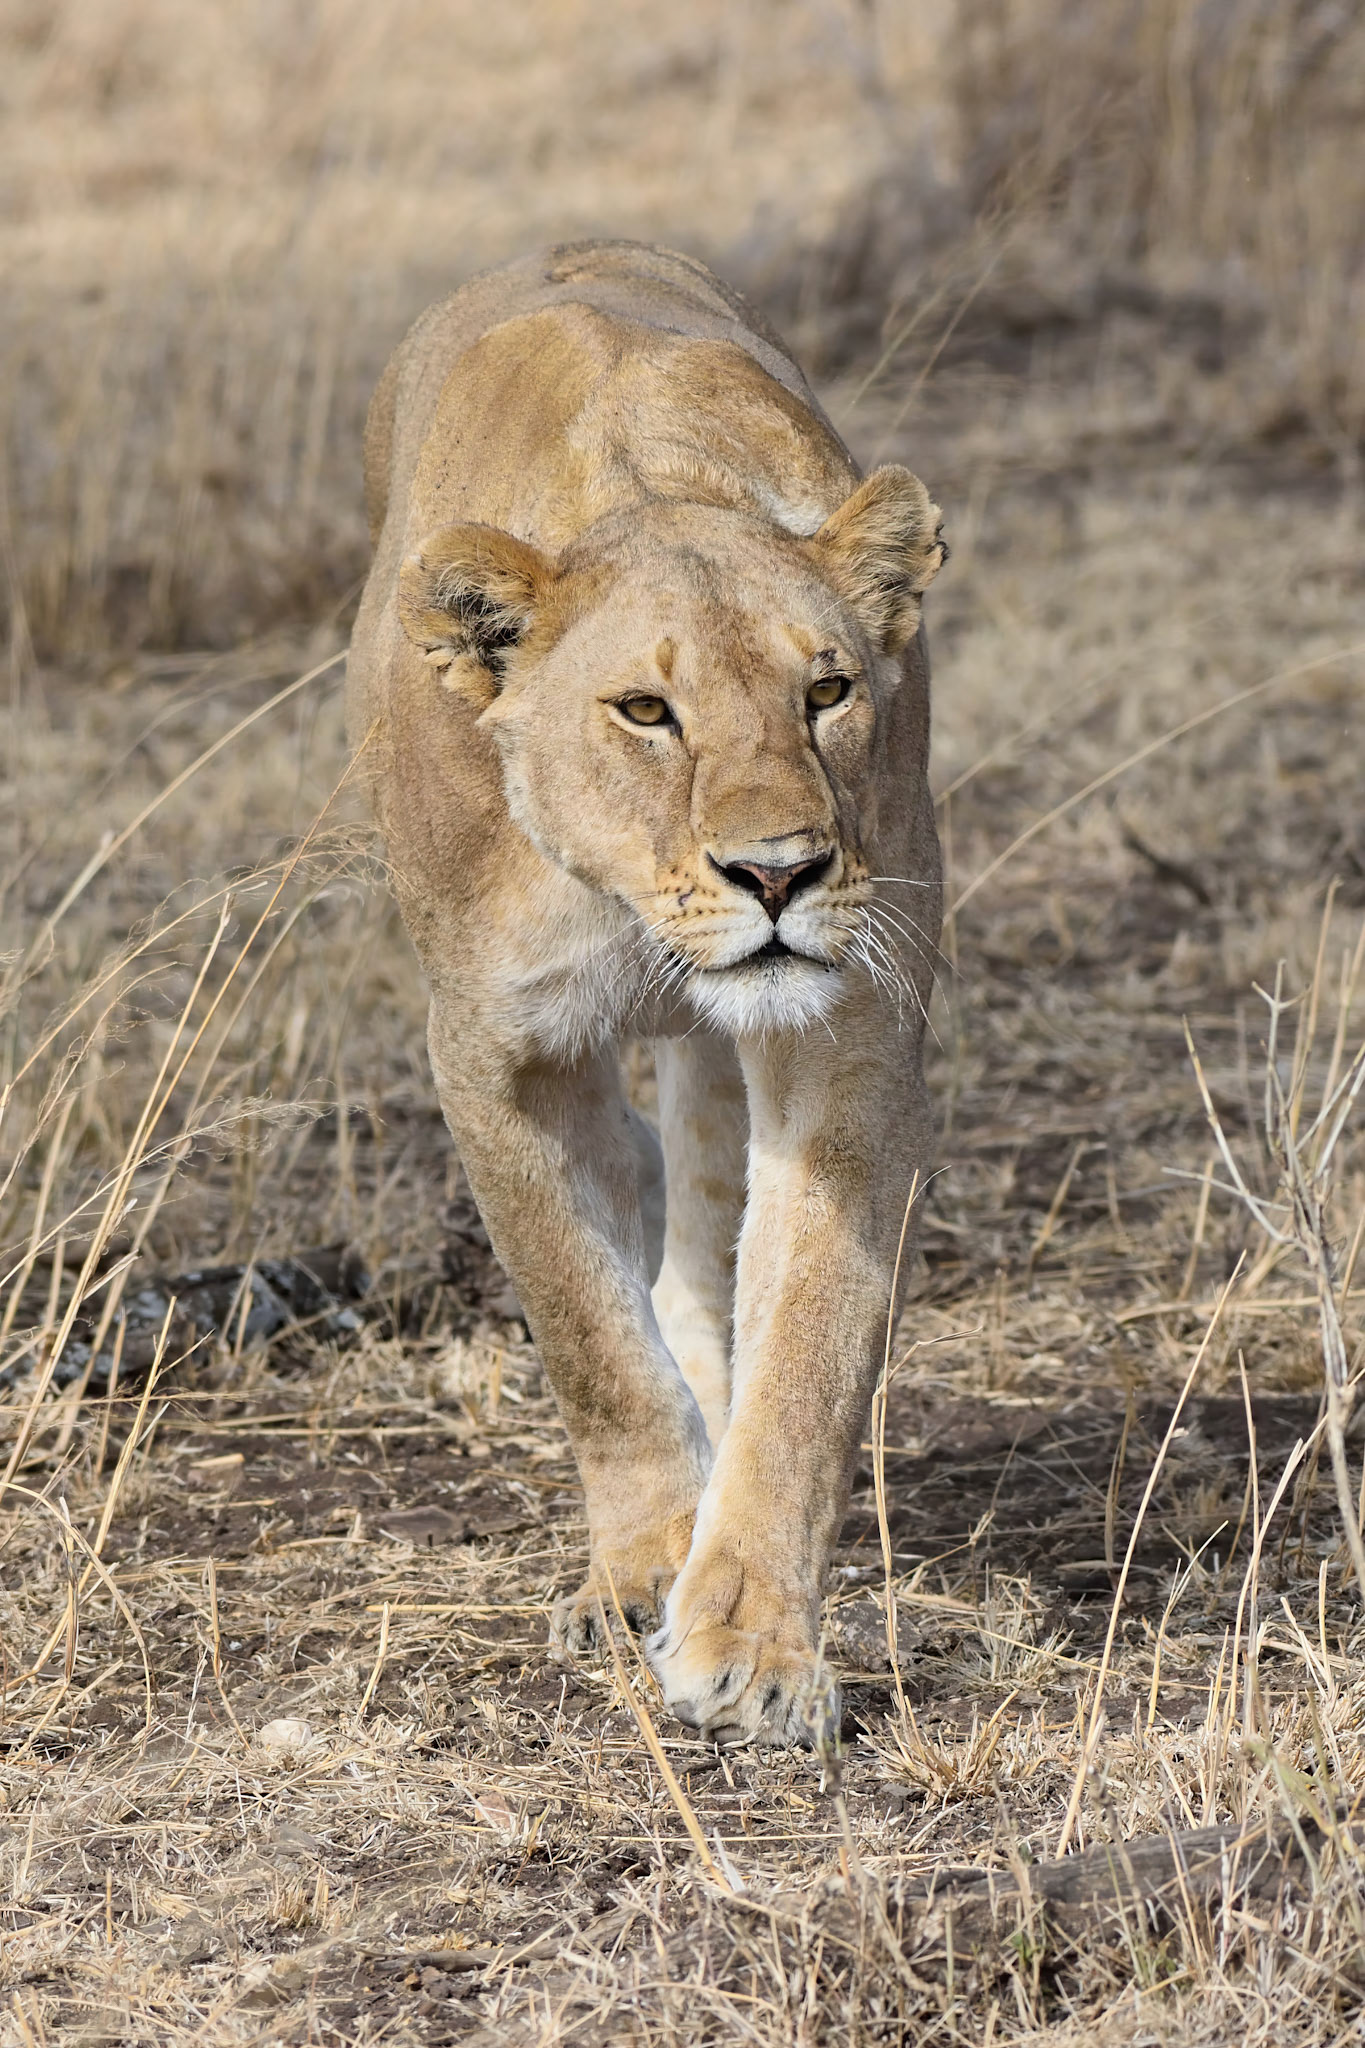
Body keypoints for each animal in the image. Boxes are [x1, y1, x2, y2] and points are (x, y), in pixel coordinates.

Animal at [347, 240, 945, 1746]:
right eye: (644, 712)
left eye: (827, 691)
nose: (780, 872)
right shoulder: (496, 1047)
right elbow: (582, 1326)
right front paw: (644, 1564)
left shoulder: (852, 1030)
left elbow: (807, 1342)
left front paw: (749, 1637)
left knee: (701, 1209)